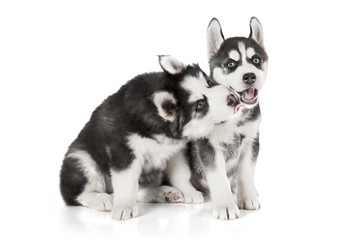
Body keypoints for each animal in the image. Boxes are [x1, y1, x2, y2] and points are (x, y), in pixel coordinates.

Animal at [59, 55, 242, 220]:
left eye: (209, 83)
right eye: (200, 104)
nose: (233, 99)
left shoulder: (176, 150)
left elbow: (181, 173)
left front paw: (188, 191)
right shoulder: (123, 152)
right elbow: (126, 182)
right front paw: (124, 206)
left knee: (139, 189)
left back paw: (164, 193)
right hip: (81, 159)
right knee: (76, 193)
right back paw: (101, 198)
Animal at [186, 16, 268, 219]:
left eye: (256, 60)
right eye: (231, 64)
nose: (249, 76)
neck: (234, 115)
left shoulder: (251, 140)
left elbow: (246, 172)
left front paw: (247, 197)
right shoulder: (208, 146)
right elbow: (218, 177)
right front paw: (225, 205)